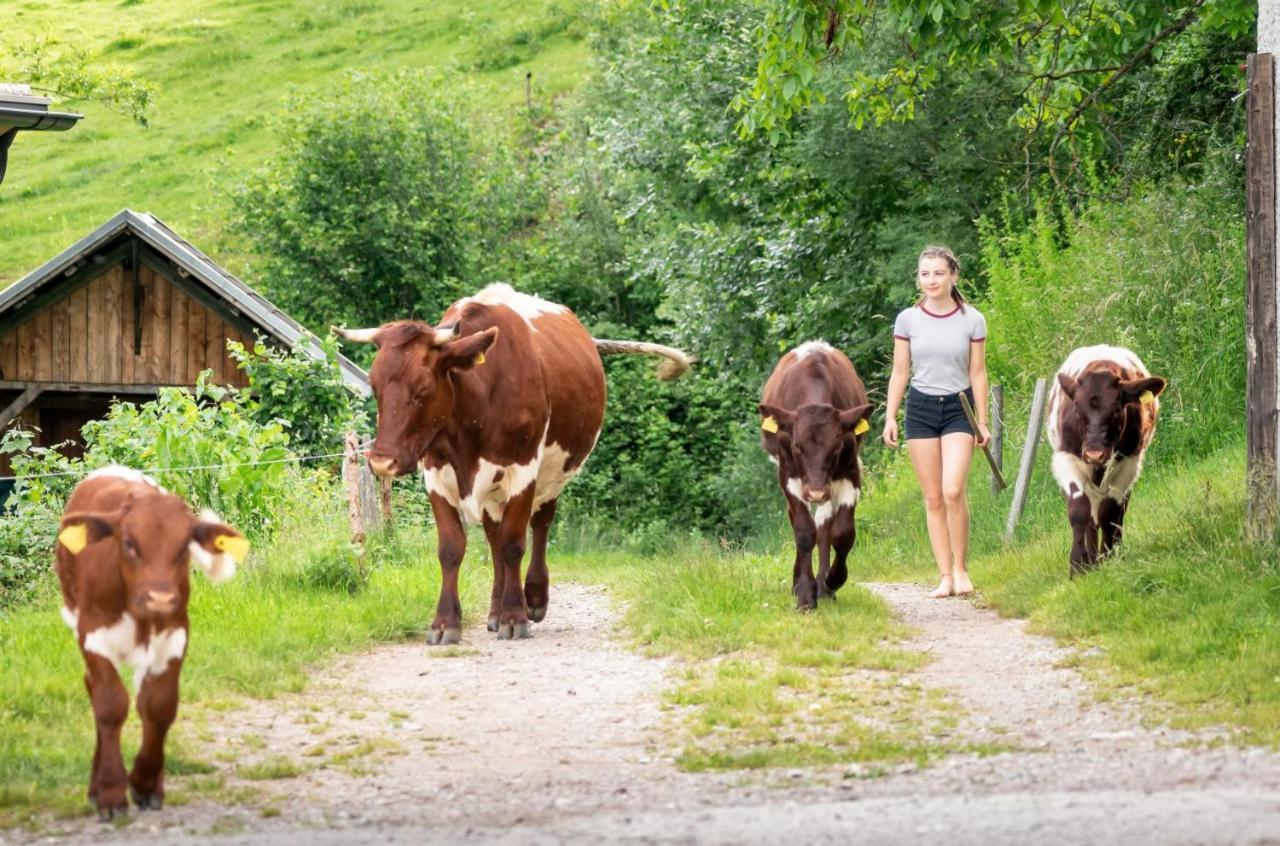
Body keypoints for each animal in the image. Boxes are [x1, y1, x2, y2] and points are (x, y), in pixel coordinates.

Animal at [52, 465, 248, 819]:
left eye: (184, 547)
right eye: (129, 543)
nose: (160, 598)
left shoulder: (174, 636)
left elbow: (158, 706)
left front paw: (144, 783)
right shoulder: (93, 634)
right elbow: (110, 704)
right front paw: (111, 793)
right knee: (95, 691)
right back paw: (96, 785)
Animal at [330, 281, 691, 639]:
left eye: (422, 389)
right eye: (375, 387)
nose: (382, 462)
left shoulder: (523, 470)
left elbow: (514, 544)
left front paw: (515, 616)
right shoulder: (435, 475)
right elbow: (452, 549)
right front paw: (446, 622)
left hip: (553, 473)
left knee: (540, 524)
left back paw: (534, 597)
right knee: (493, 536)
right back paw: (494, 610)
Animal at [752, 340, 875, 609]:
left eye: (837, 447)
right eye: (797, 446)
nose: (816, 492)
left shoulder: (850, 472)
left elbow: (842, 533)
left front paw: (832, 581)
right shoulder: (788, 474)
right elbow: (804, 532)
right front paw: (805, 595)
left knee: (824, 525)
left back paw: (823, 586)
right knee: (803, 524)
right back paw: (799, 584)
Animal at [1044, 343, 1167, 573]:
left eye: (1117, 409)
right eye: (1076, 407)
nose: (1095, 454)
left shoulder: (1128, 462)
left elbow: (1110, 513)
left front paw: (1108, 557)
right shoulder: (1066, 458)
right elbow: (1079, 511)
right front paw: (1079, 565)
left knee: (1116, 511)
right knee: (1091, 515)